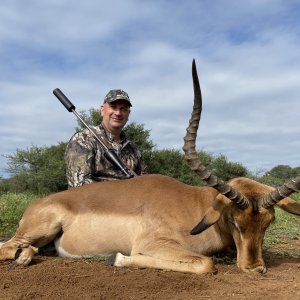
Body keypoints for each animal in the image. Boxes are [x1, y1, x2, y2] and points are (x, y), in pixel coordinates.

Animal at [0, 61, 298, 274]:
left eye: (269, 222)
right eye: (235, 221)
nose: (255, 268)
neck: (195, 207)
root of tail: (37, 205)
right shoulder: (152, 244)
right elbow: (205, 263)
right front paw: (116, 258)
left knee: (25, 249)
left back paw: (26, 257)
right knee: (6, 248)